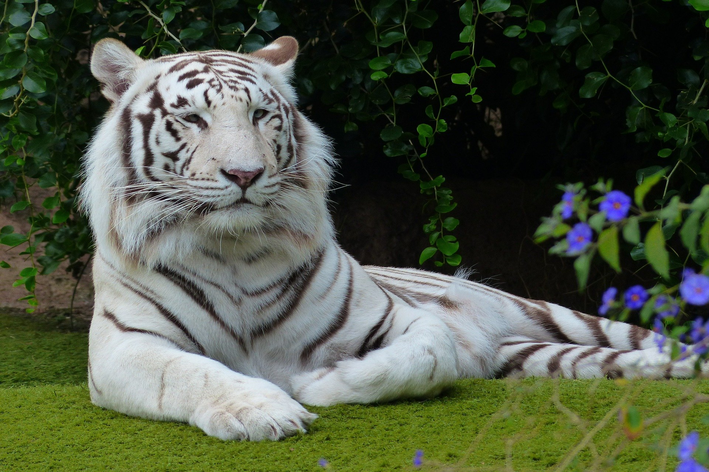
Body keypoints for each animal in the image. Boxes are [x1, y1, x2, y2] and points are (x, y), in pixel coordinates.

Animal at [83, 35, 704, 440]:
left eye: (261, 115)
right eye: (193, 119)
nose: (244, 174)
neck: (234, 250)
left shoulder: (396, 318)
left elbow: (426, 355)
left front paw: (317, 385)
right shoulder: (122, 347)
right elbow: (191, 372)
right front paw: (263, 410)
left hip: (553, 314)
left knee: (654, 340)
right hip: (543, 357)